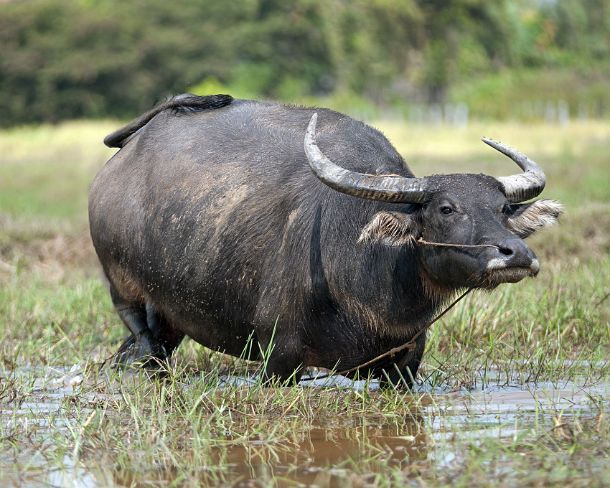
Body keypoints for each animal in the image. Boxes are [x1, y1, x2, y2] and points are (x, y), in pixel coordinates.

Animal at [90, 93, 560, 386]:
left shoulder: (405, 366)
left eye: (502, 208)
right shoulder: (278, 360)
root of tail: (119, 162)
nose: (516, 254)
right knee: (143, 340)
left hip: (171, 316)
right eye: (446, 209)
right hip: (123, 288)